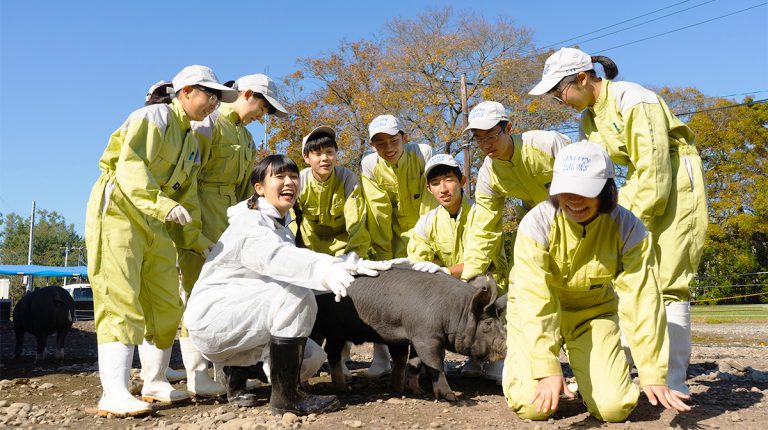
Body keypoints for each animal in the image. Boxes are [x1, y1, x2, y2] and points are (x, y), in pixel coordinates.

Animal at [308, 264, 508, 402]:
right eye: (488, 323)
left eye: (500, 320)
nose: (507, 346)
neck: (456, 312)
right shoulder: (426, 338)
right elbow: (434, 364)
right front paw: (451, 397)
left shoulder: (409, 337)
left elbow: (411, 362)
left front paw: (412, 390)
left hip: (337, 333)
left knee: (332, 353)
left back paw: (343, 388)